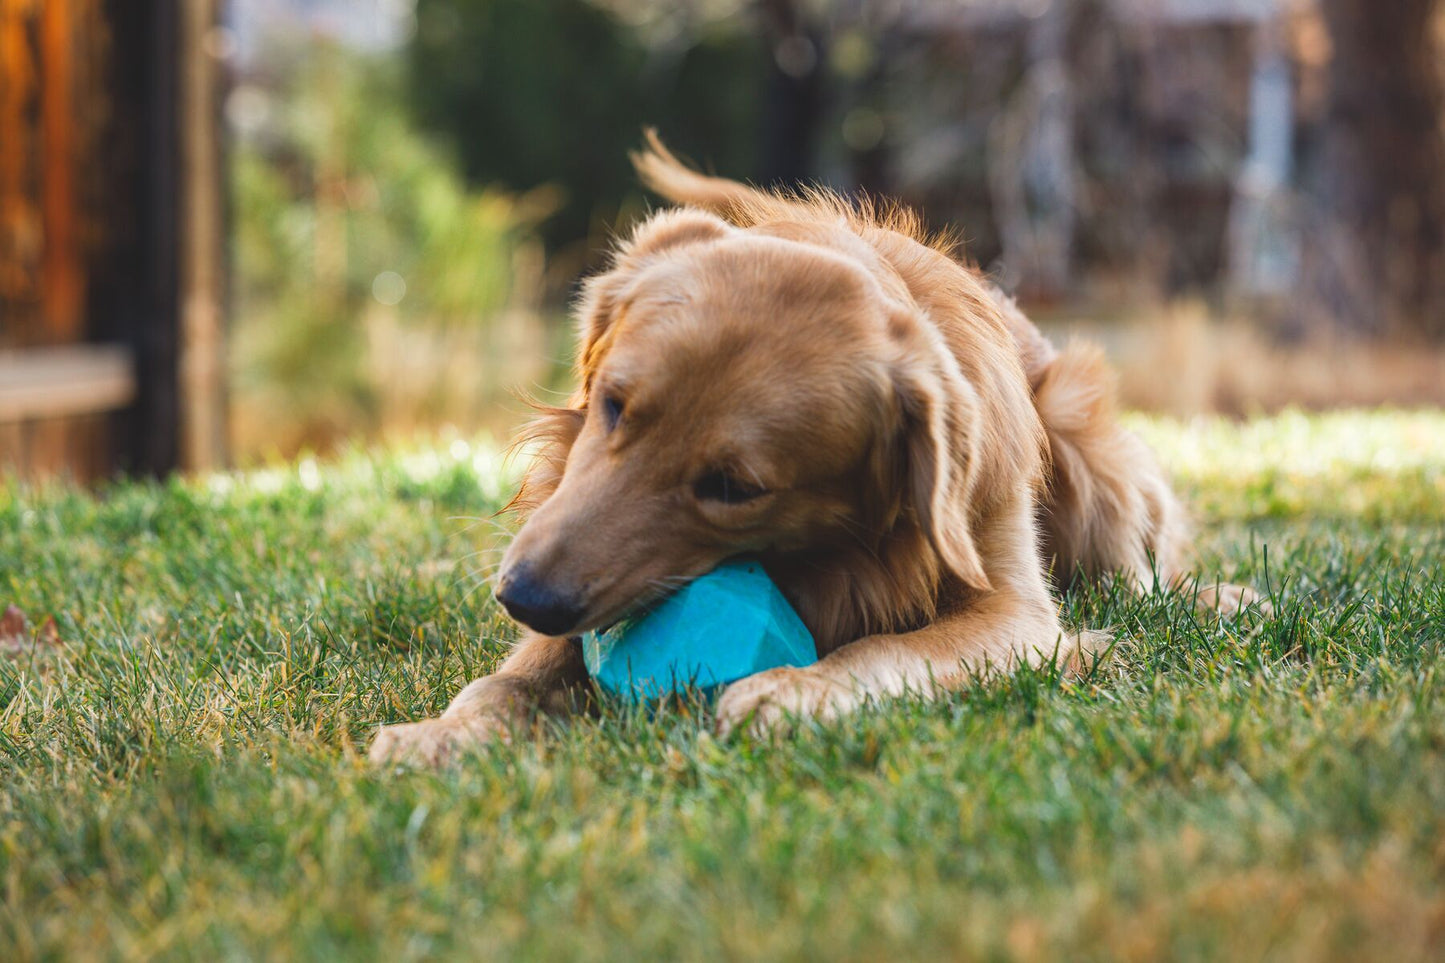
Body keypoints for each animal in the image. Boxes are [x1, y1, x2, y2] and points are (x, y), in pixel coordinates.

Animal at [367, 133, 1260, 763]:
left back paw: (1219, 598)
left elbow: (885, 649)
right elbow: (504, 681)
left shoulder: (1014, 610)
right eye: (614, 406)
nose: (524, 595)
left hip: (1090, 460)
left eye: (732, 486)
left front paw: (796, 691)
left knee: (1143, 575)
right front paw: (444, 732)